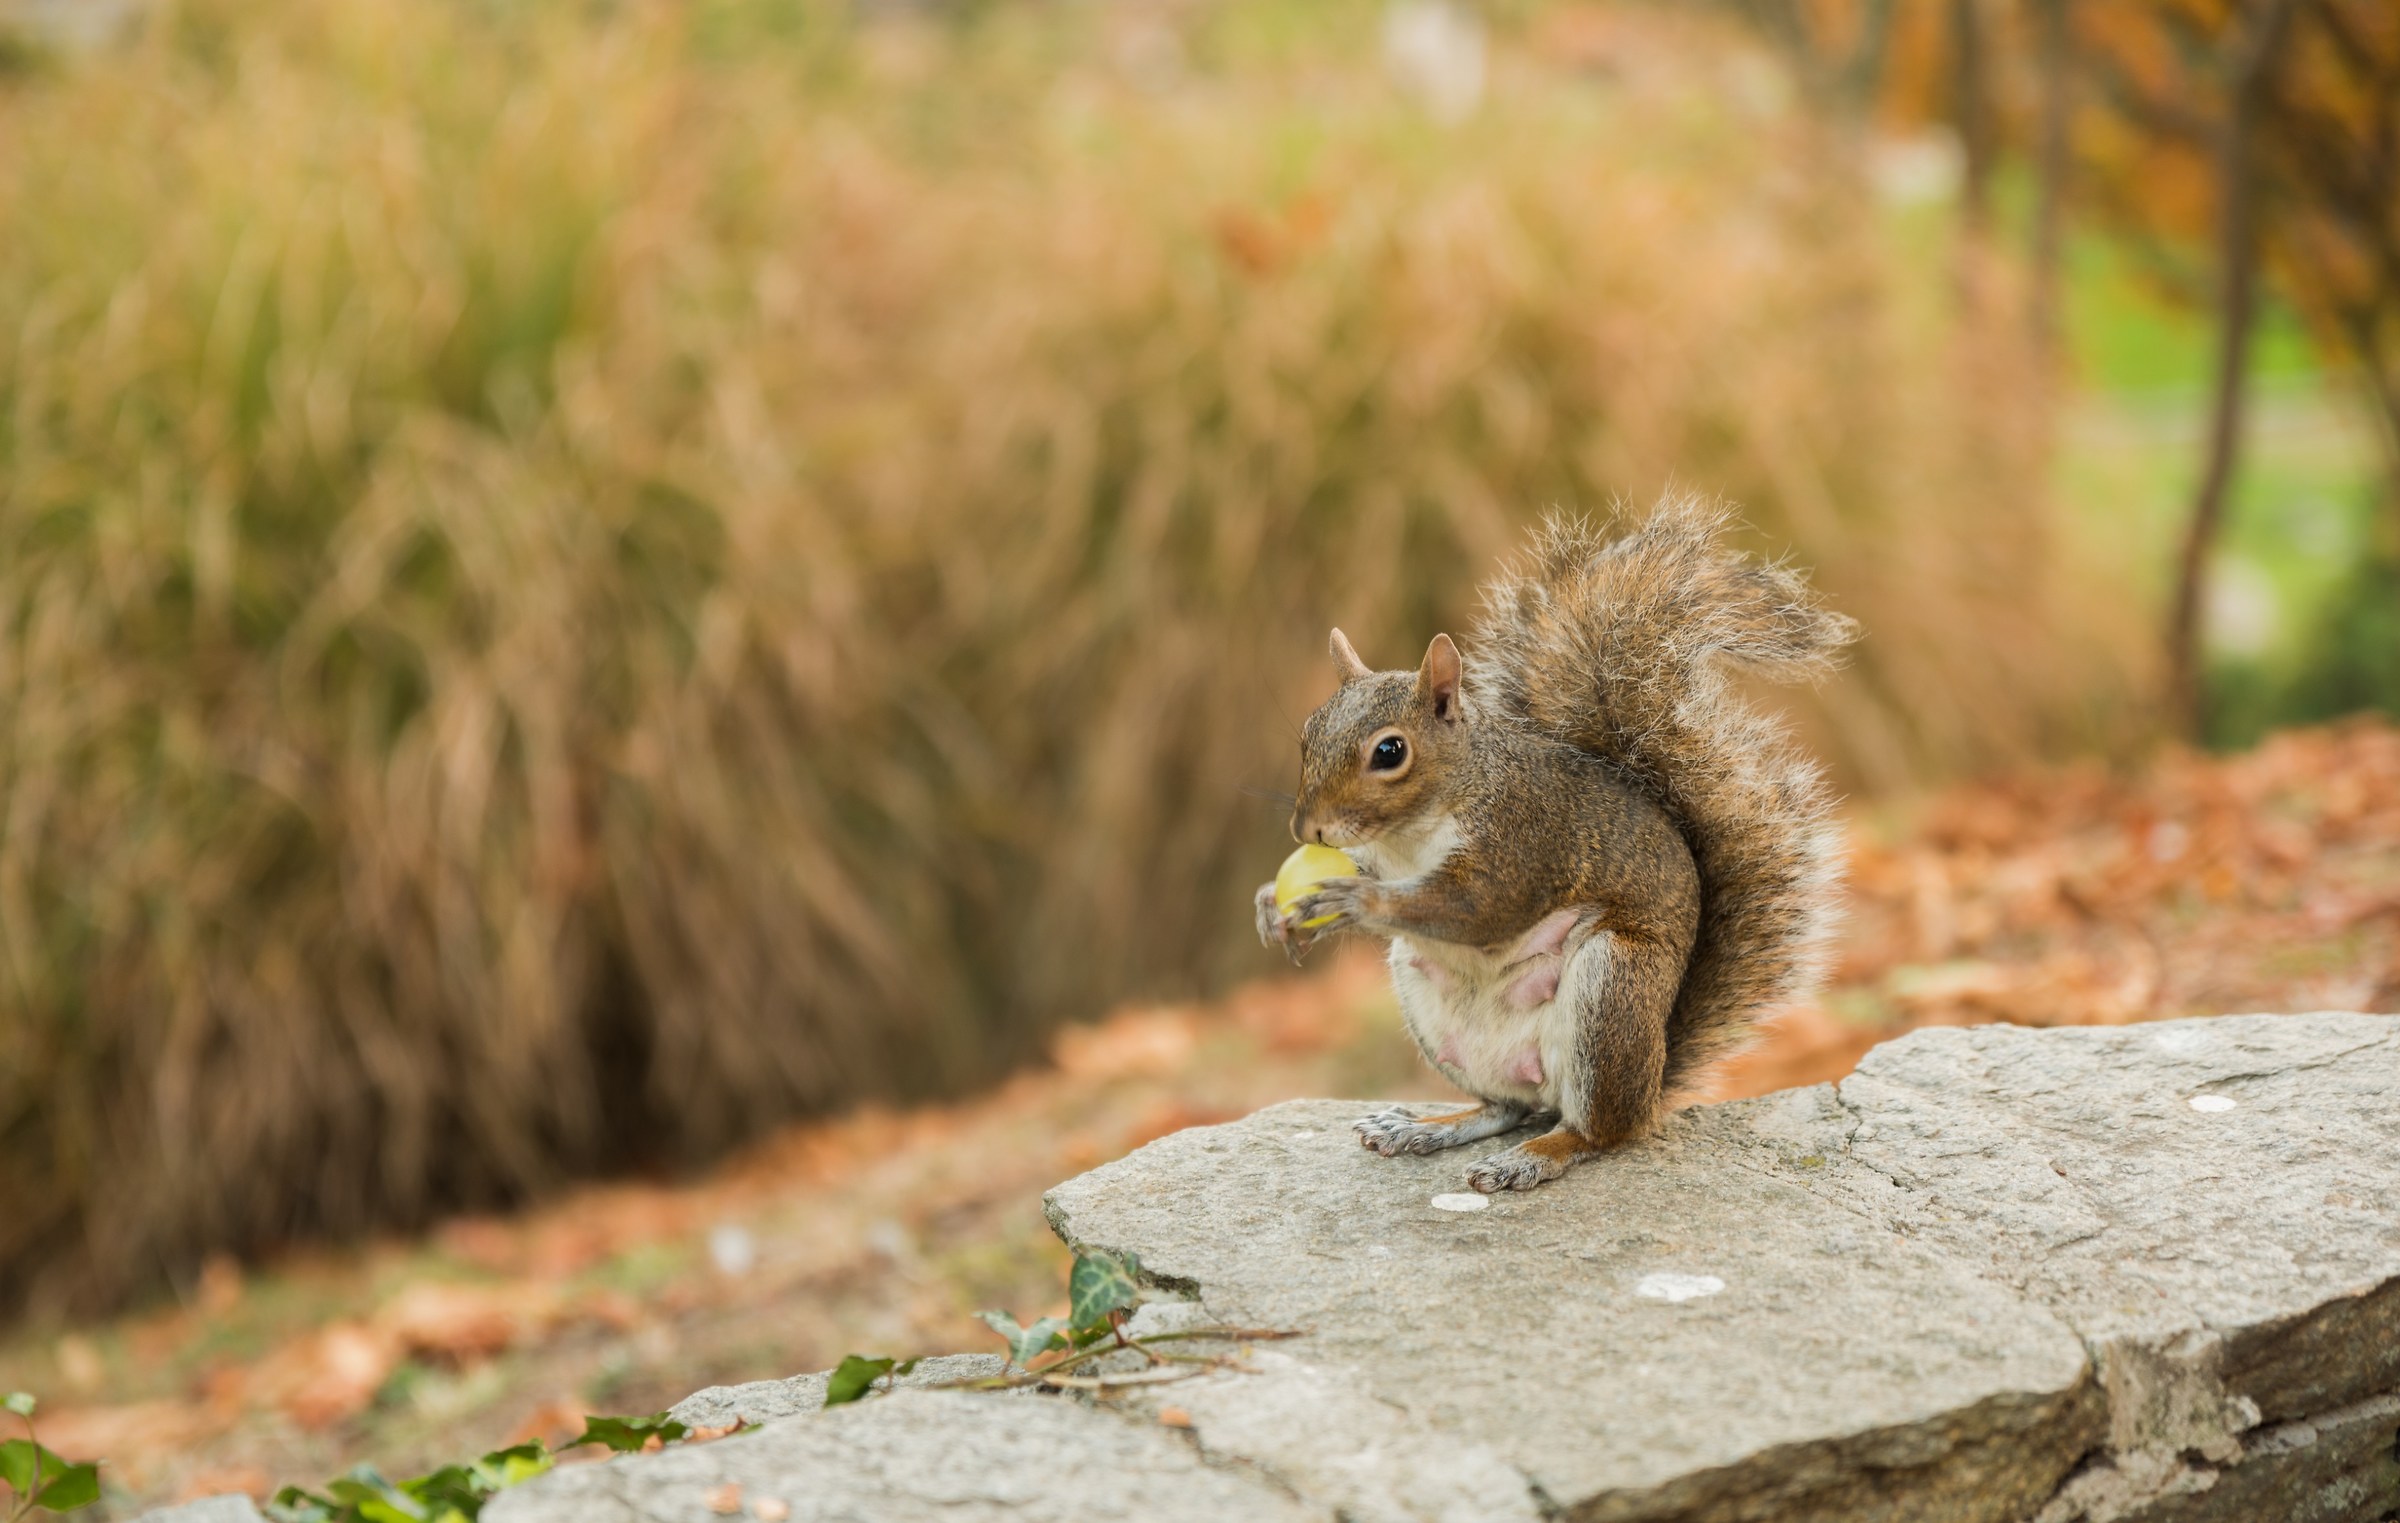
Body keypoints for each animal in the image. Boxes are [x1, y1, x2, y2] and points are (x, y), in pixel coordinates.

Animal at [1254, 495, 1858, 1193]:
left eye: (1389, 751)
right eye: (1308, 731)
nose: (1308, 831)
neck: (1411, 836)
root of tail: (1653, 1080)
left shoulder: (1522, 842)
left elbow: (1476, 908)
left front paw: (1354, 903)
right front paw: (1270, 906)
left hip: (1611, 988)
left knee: (1597, 1131)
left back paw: (1533, 1157)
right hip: (1427, 996)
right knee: (1507, 1106)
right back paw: (1429, 1126)